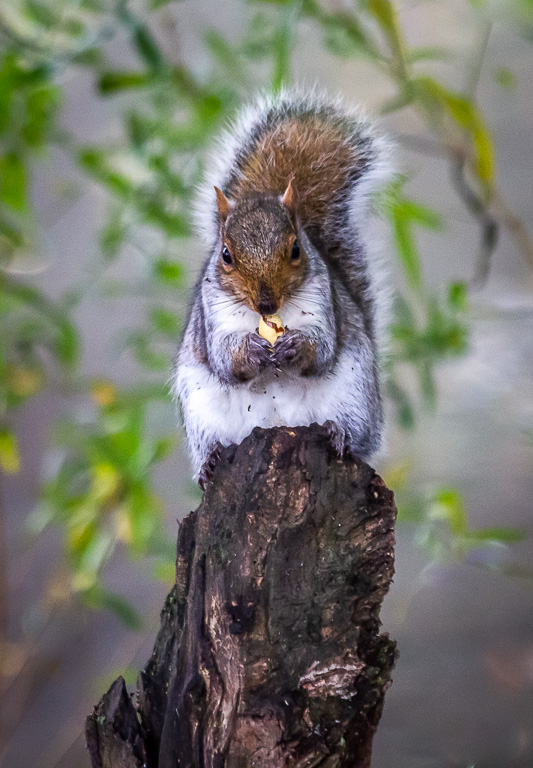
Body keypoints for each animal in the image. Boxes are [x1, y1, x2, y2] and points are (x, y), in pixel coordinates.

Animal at [174, 88, 390, 486]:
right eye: (226, 255)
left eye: (295, 250)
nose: (266, 304)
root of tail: (278, 426)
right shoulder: (213, 316)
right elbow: (224, 357)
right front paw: (252, 351)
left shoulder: (323, 302)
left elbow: (321, 348)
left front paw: (295, 346)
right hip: (202, 414)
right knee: (210, 442)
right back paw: (209, 460)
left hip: (354, 398)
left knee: (355, 434)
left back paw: (340, 435)